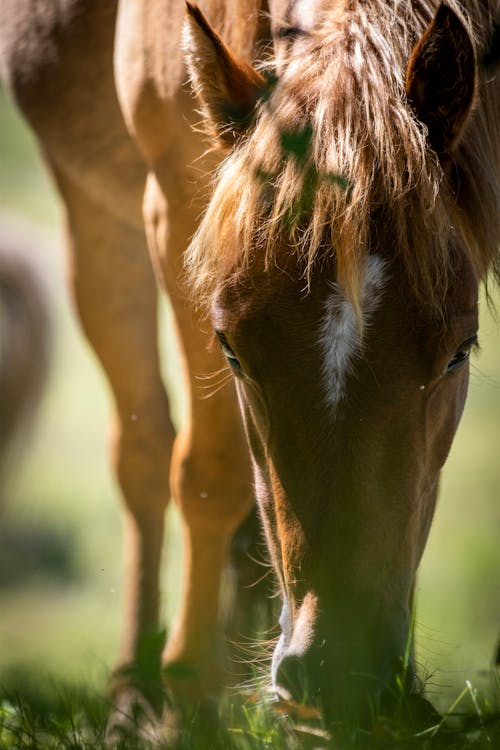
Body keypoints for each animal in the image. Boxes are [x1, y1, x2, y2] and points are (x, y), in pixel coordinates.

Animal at [0, 0, 498, 740]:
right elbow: (207, 470)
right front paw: (186, 702)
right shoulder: (174, 203)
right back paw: (140, 693)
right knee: (144, 451)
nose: (336, 674)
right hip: (93, 220)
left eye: (460, 351)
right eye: (230, 349)